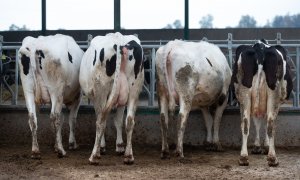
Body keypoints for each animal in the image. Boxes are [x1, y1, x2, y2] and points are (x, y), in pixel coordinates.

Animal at [79, 32, 145, 165]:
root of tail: (118, 38)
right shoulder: (121, 100)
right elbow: (118, 120)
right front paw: (119, 146)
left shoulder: (96, 98)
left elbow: (101, 118)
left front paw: (102, 147)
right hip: (134, 90)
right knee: (129, 121)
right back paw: (128, 156)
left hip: (101, 90)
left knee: (101, 121)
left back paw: (94, 156)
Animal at [232, 39, 292, 167]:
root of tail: (260, 47)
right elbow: (264, 123)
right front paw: (265, 146)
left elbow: (257, 122)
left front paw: (257, 146)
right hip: (273, 93)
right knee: (270, 124)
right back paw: (272, 158)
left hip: (244, 93)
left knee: (245, 123)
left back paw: (243, 157)